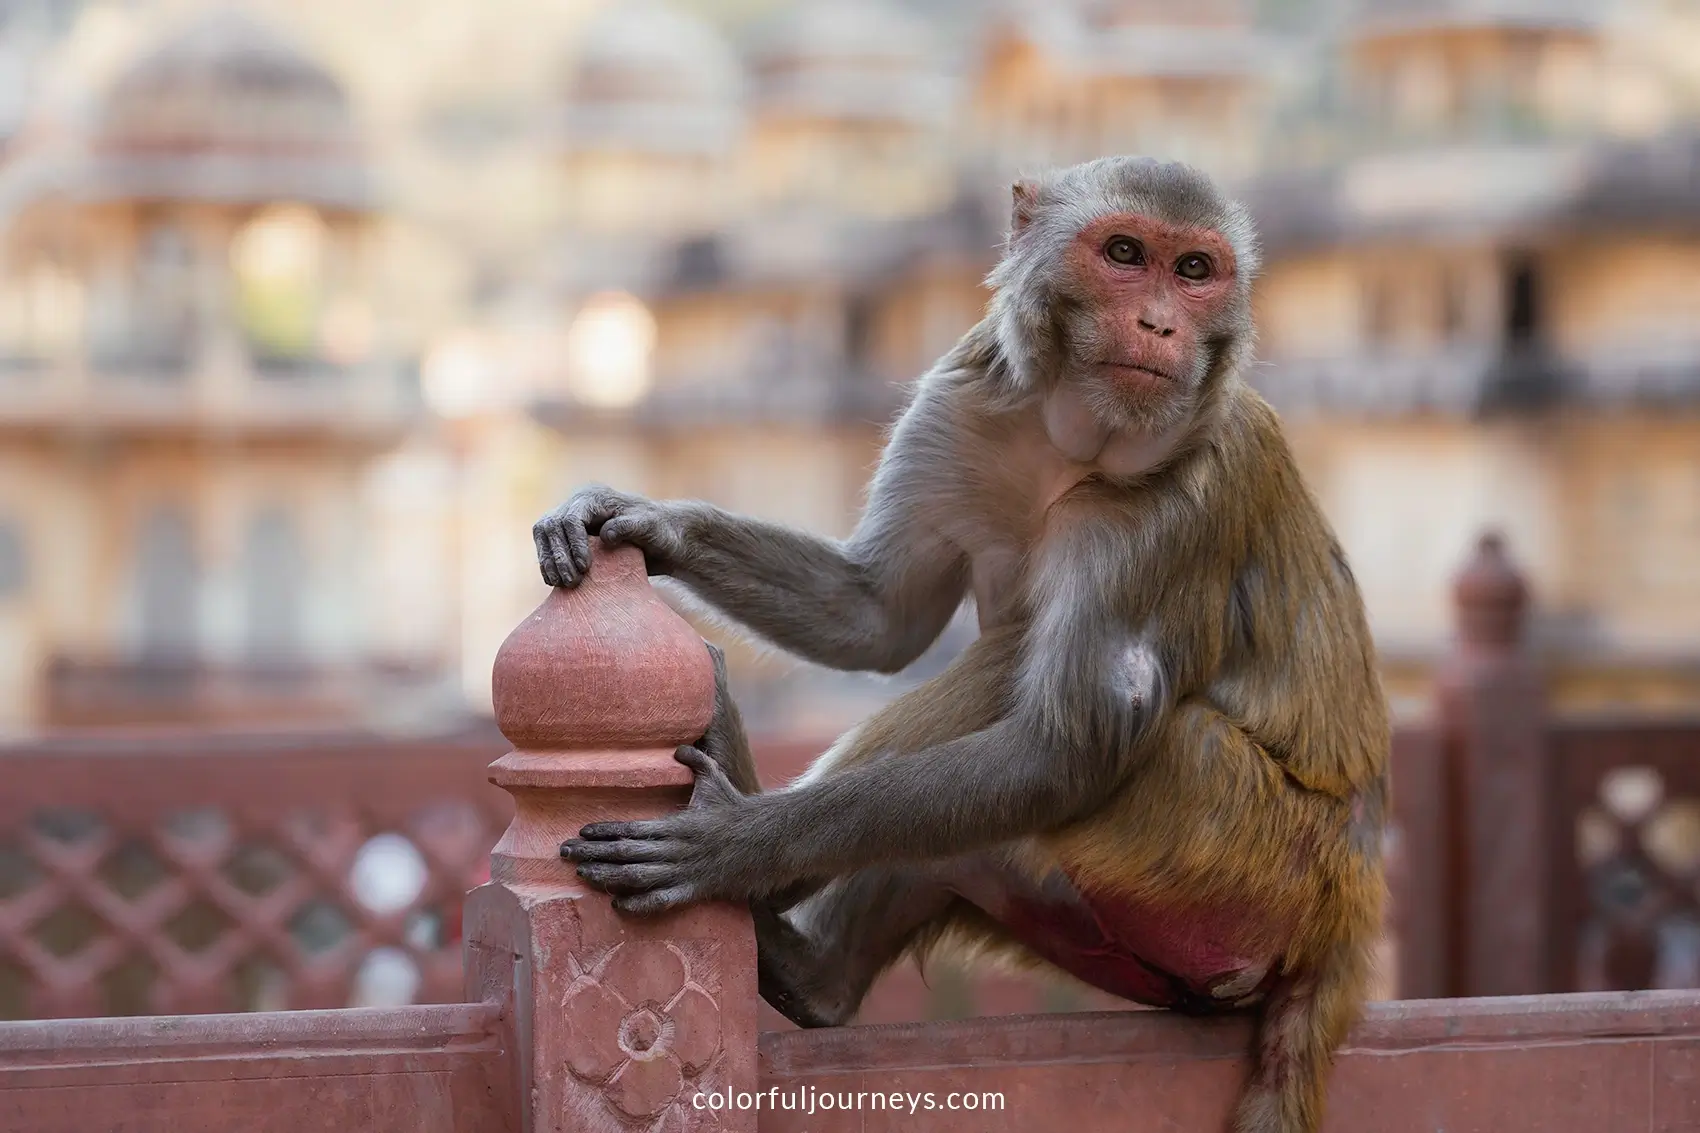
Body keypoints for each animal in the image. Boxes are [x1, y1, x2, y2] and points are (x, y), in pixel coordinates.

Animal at [538, 156, 1391, 1133]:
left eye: (1195, 271)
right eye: (1125, 254)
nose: (1161, 324)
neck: (1075, 439)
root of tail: (1353, 907)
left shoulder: (1175, 507)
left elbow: (1067, 747)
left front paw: (740, 843)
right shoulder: (958, 396)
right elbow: (878, 612)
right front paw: (648, 522)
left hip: (1245, 855)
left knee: (1056, 684)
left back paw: (750, 855)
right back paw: (808, 970)